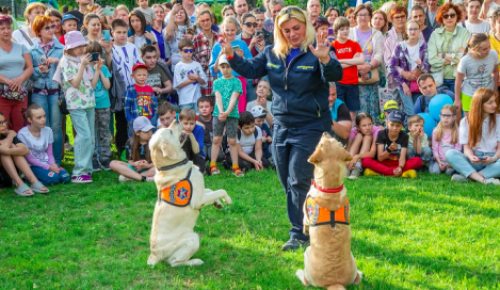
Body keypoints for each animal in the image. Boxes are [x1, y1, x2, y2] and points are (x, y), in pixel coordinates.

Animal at [148, 120, 232, 268]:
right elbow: (221, 190)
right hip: (193, 238)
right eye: (170, 131)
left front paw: (217, 203)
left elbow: (210, 191)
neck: (172, 166)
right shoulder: (198, 200)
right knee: (175, 263)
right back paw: (195, 261)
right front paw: (227, 200)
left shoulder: (200, 192)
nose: (176, 120)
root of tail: (154, 255)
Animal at [294, 133, 362, 290]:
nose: (325, 132)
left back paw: (299, 273)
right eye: (337, 142)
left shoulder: (305, 212)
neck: (331, 188)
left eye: (321, 144)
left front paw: (305, 230)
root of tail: (334, 283)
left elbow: (304, 222)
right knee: (358, 278)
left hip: (307, 253)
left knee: (305, 281)